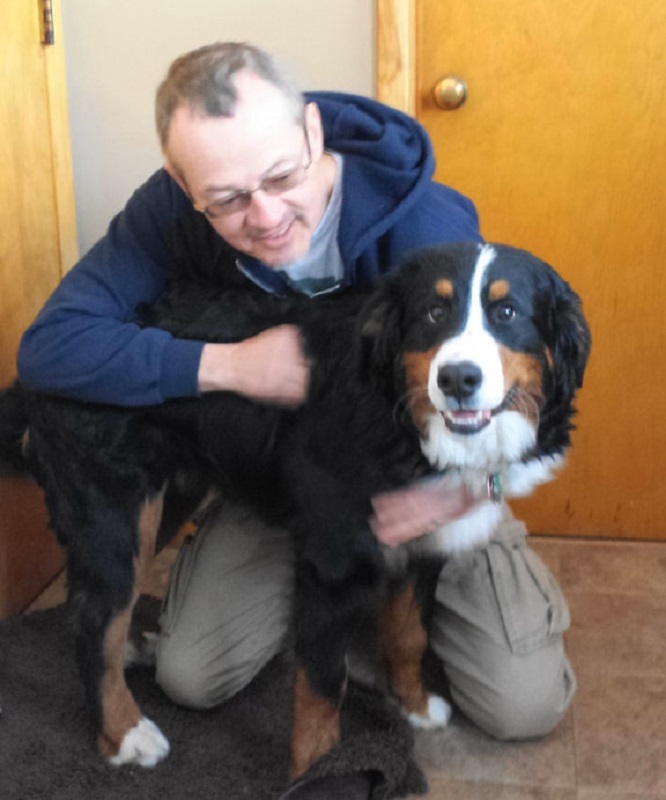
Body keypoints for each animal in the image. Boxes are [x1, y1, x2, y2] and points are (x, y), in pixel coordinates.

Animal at [2, 242, 588, 776]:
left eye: (507, 313)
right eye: (434, 313)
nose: (458, 378)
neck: (397, 418)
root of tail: (34, 360)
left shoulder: (421, 548)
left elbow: (408, 636)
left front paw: (415, 706)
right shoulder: (334, 566)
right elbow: (324, 691)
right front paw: (321, 774)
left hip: (168, 499)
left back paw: (131, 654)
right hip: (115, 515)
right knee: (93, 619)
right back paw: (125, 734)